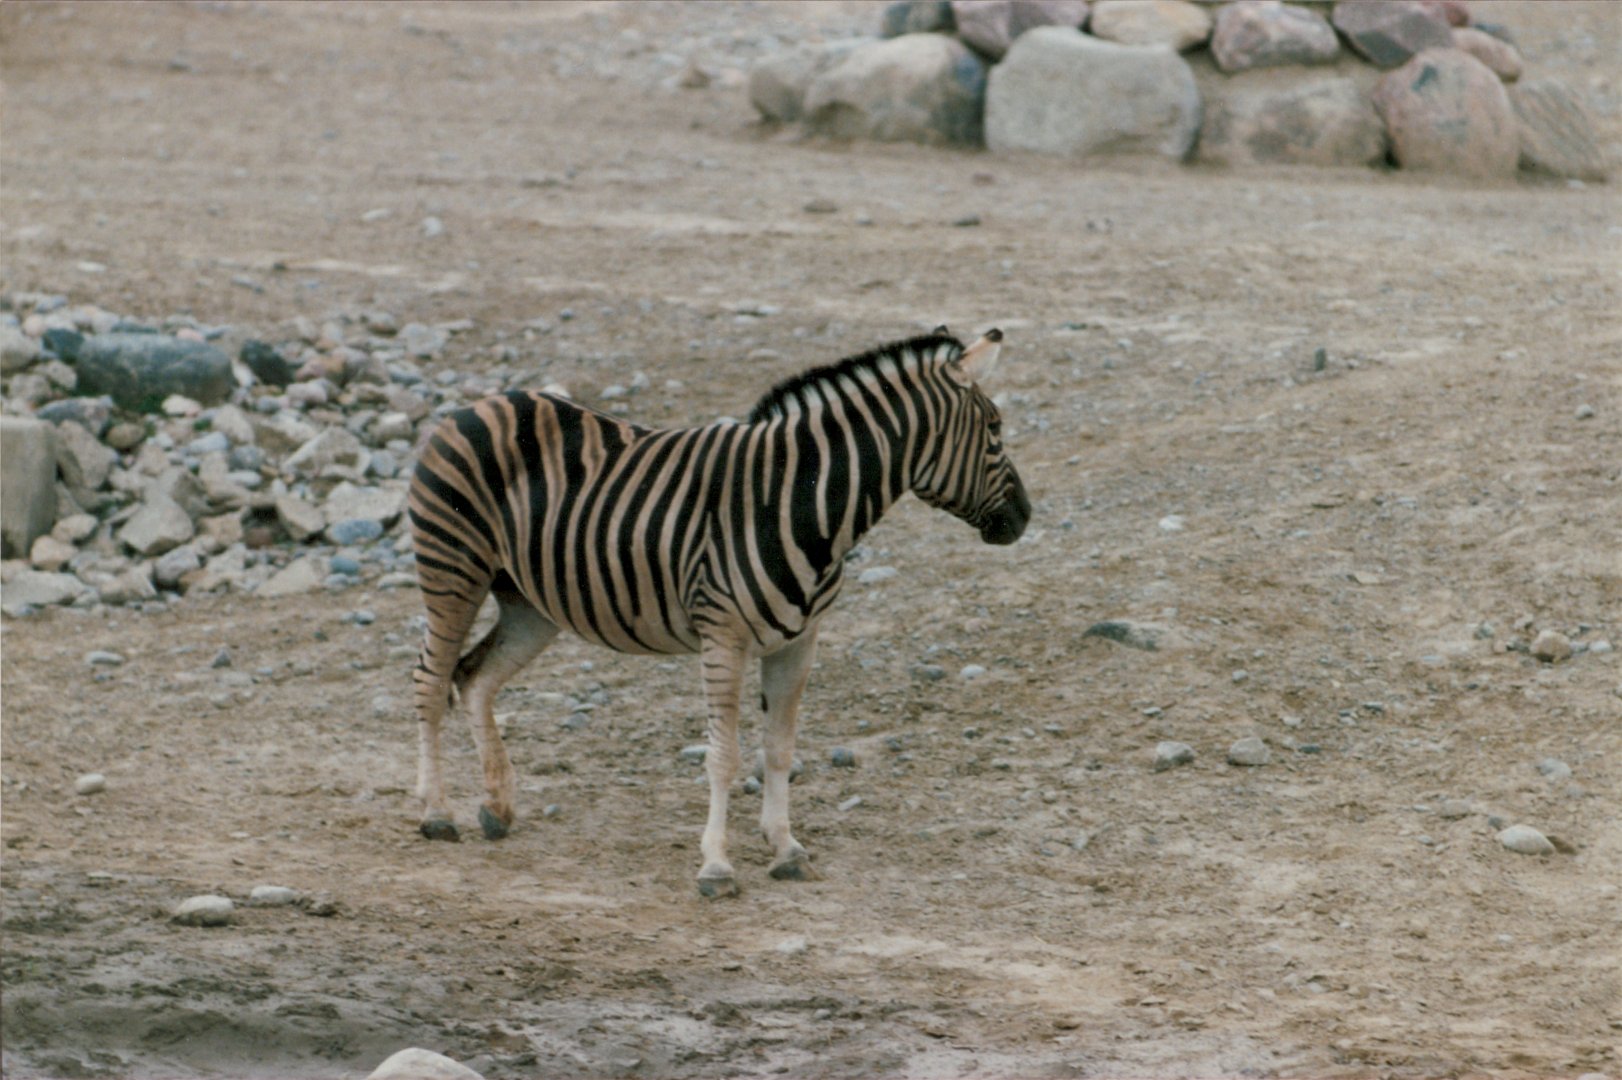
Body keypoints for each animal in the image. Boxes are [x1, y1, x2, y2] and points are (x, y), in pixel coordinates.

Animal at [407, 327, 1029, 896]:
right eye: (995, 428)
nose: (1024, 518)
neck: (800, 504)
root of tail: (475, 404)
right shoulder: (723, 636)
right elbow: (724, 755)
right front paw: (716, 865)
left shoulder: (800, 640)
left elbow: (778, 748)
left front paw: (785, 848)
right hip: (453, 571)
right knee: (431, 681)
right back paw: (436, 814)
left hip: (531, 602)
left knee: (475, 677)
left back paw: (496, 807)